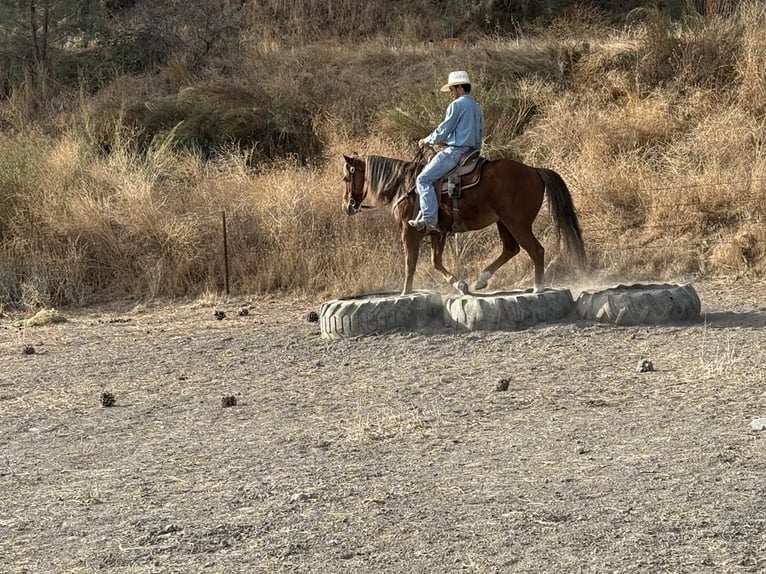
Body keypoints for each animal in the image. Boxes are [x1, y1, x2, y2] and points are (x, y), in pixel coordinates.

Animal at [341, 151, 586, 295]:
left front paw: (405, 292)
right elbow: (436, 262)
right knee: (511, 249)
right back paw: (481, 280)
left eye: (346, 178)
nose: (347, 206)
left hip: (517, 223)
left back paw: (538, 287)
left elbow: (410, 263)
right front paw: (461, 285)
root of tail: (534, 170)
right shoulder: (437, 233)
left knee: (535, 250)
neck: (404, 185)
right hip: (504, 223)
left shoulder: (409, 232)